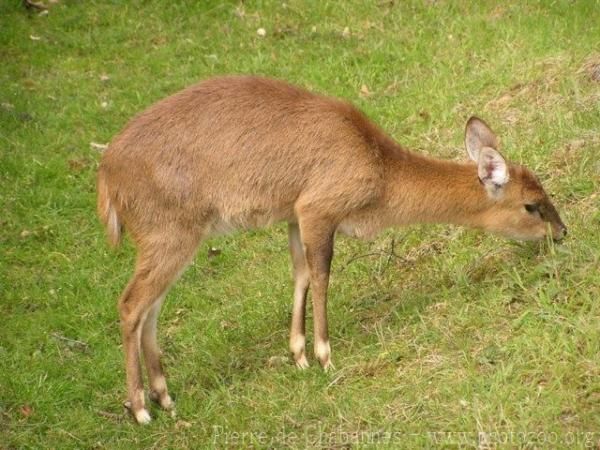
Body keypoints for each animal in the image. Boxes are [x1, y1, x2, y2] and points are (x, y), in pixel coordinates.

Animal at [96, 75, 564, 424]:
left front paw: (299, 355)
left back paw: (165, 398)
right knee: (130, 304)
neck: (378, 170)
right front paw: (325, 356)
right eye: (531, 204)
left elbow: (300, 274)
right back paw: (140, 409)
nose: (561, 232)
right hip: (169, 235)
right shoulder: (318, 209)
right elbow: (321, 275)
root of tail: (106, 175)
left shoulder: (293, 216)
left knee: (151, 310)